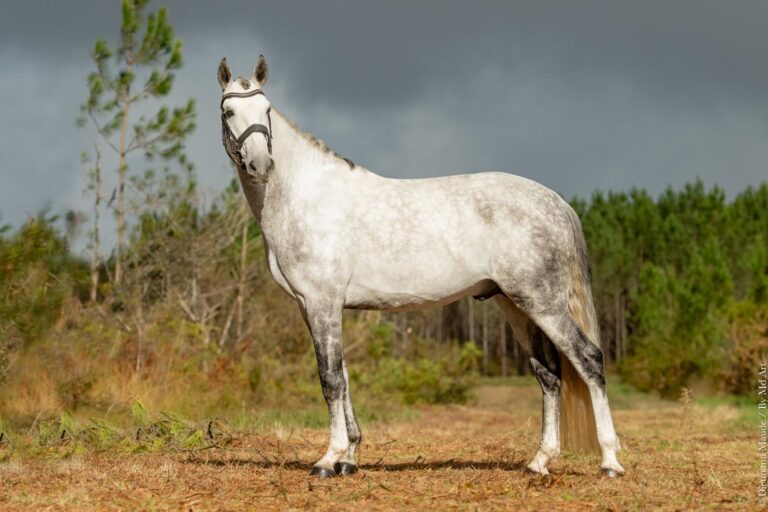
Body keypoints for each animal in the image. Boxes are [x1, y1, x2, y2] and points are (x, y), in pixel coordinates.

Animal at [216, 55, 624, 478]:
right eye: (228, 111)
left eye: (266, 110)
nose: (261, 164)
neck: (305, 196)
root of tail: (557, 203)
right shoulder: (313, 306)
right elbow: (343, 374)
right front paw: (349, 457)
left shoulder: (321, 302)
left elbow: (329, 378)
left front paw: (330, 459)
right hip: (516, 305)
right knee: (548, 373)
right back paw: (539, 461)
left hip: (543, 304)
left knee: (589, 360)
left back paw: (610, 462)